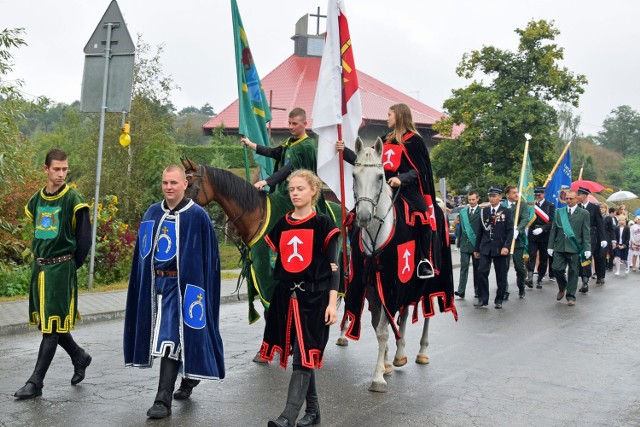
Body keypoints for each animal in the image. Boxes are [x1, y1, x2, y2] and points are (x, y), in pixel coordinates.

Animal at [340, 138, 430, 394]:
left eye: (380, 176)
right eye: (353, 175)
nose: (363, 217)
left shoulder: (392, 284)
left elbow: (382, 330)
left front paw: (378, 377)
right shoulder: (371, 288)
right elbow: (379, 325)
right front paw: (387, 364)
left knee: (425, 314)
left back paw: (421, 352)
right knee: (404, 315)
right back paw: (399, 355)